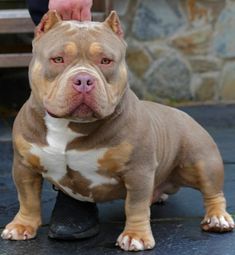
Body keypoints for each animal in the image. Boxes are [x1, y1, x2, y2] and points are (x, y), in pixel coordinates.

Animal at [0, 10, 234, 252]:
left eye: (106, 61)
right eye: (58, 59)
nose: (83, 80)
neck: (70, 126)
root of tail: (182, 113)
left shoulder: (138, 170)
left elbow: (135, 205)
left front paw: (136, 236)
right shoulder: (24, 167)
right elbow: (27, 198)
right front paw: (22, 225)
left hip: (203, 162)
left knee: (213, 192)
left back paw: (218, 219)